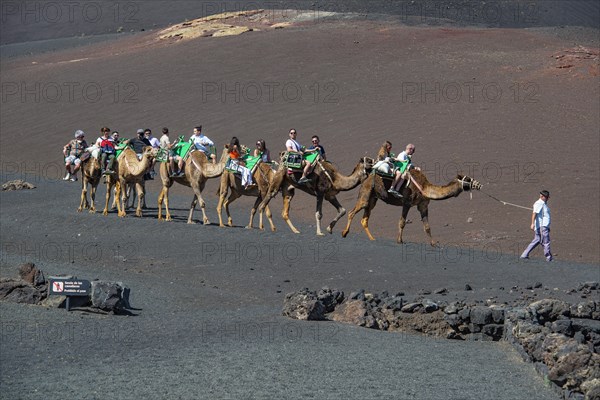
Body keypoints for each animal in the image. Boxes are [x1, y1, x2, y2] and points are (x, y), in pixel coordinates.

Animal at [342, 168, 482, 245]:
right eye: (468, 179)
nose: (479, 184)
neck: (425, 187)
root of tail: (365, 177)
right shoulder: (407, 202)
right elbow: (402, 222)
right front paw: (399, 240)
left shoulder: (423, 205)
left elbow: (427, 226)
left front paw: (433, 243)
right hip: (365, 194)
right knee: (352, 212)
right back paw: (344, 233)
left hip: (373, 198)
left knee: (364, 219)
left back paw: (372, 239)